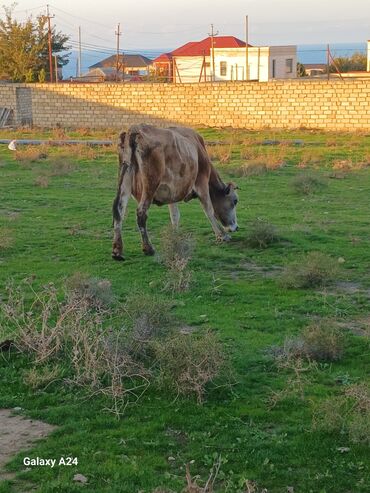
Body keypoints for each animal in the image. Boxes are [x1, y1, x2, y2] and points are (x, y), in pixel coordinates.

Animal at [111, 124, 238, 262]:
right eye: (235, 201)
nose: (236, 227)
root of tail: (134, 130)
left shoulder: (171, 192)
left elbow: (175, 216)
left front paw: (174, 236)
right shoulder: (202, 181)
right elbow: (209, 210)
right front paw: (222, 235)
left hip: (125, 176)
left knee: (119, 210)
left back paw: (117, 251)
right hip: (150, 183)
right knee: (141, 213)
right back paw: (148, 248)